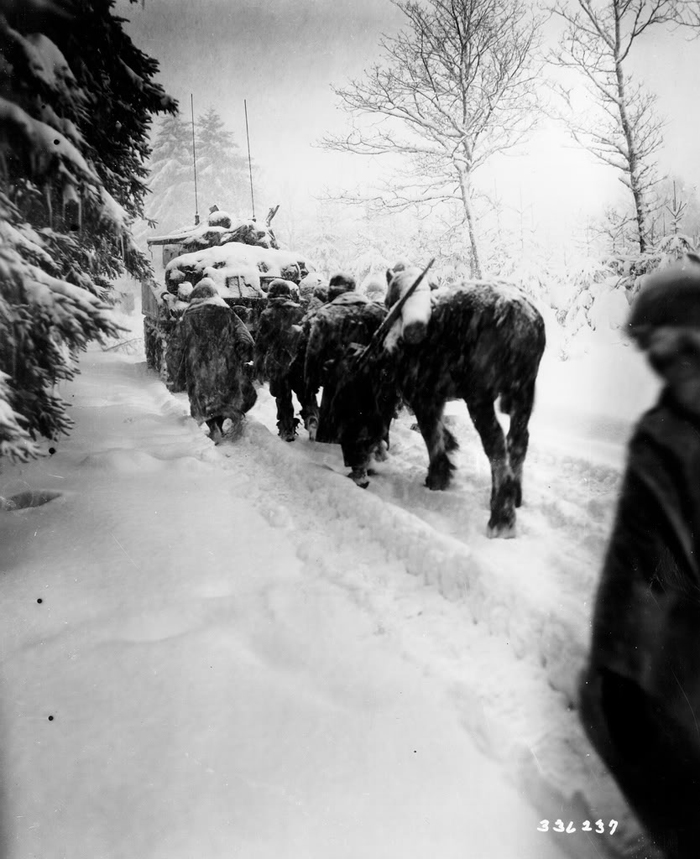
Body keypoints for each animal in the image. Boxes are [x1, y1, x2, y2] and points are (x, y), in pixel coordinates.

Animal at [382, 268, 548, 536]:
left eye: (388, 300)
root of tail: (520, 317)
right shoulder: (435, 397)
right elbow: (438, 431)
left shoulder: (423, 396)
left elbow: (432, 436)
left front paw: (437, 477)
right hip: (523, 394)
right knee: (518, 442)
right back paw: (514, 495)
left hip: (480, 399)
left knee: (496, 447)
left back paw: (501, 517)